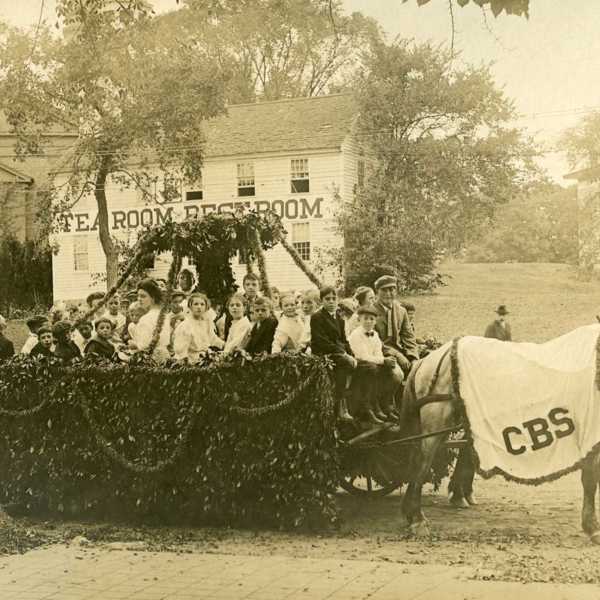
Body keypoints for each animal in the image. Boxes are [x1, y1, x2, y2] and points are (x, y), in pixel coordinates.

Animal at [400, 338, 600, 544]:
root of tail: (430, 358)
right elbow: (591, 479)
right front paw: (593, 527)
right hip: (436, 423)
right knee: (421, 464)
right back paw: (418, 519)